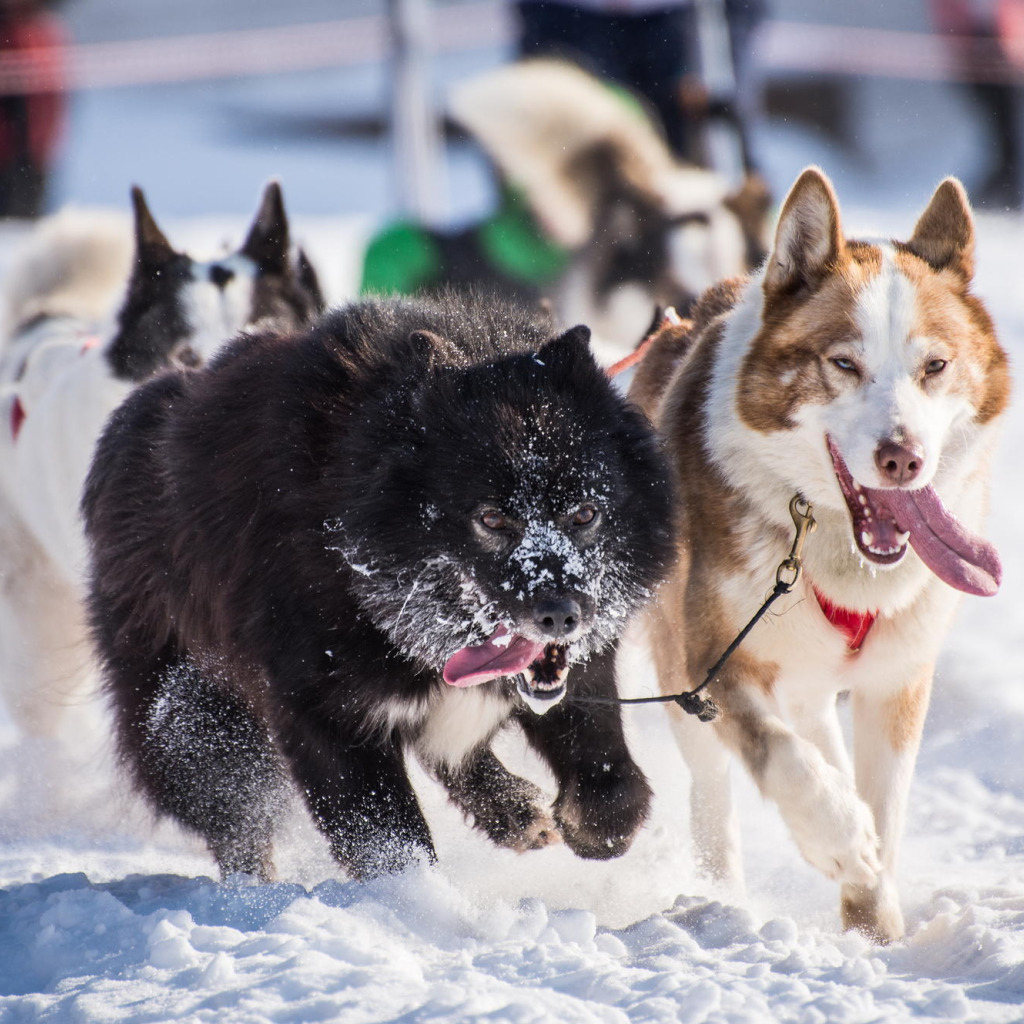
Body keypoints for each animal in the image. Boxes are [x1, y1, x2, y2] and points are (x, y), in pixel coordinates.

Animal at [79, 290, 671, 880]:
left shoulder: (578, 675)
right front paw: (418, 899)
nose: (560, 615)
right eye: (492, 518)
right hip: (195, 719)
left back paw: (514, 811)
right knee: (236, 822)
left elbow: (608, 783)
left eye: (585, 512)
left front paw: (590, 825)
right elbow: (390, 841)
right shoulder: (324, 716)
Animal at [630, 165, 1007, 942]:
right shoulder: (717, 658)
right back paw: (721, 894)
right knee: (716, 783)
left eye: (935, 366)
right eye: (843, 363)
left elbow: (884, 804)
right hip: (682, 673)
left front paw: (874, 925)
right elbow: (781, 758)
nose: (902, 458)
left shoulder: (896, 677)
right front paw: (838, 838)